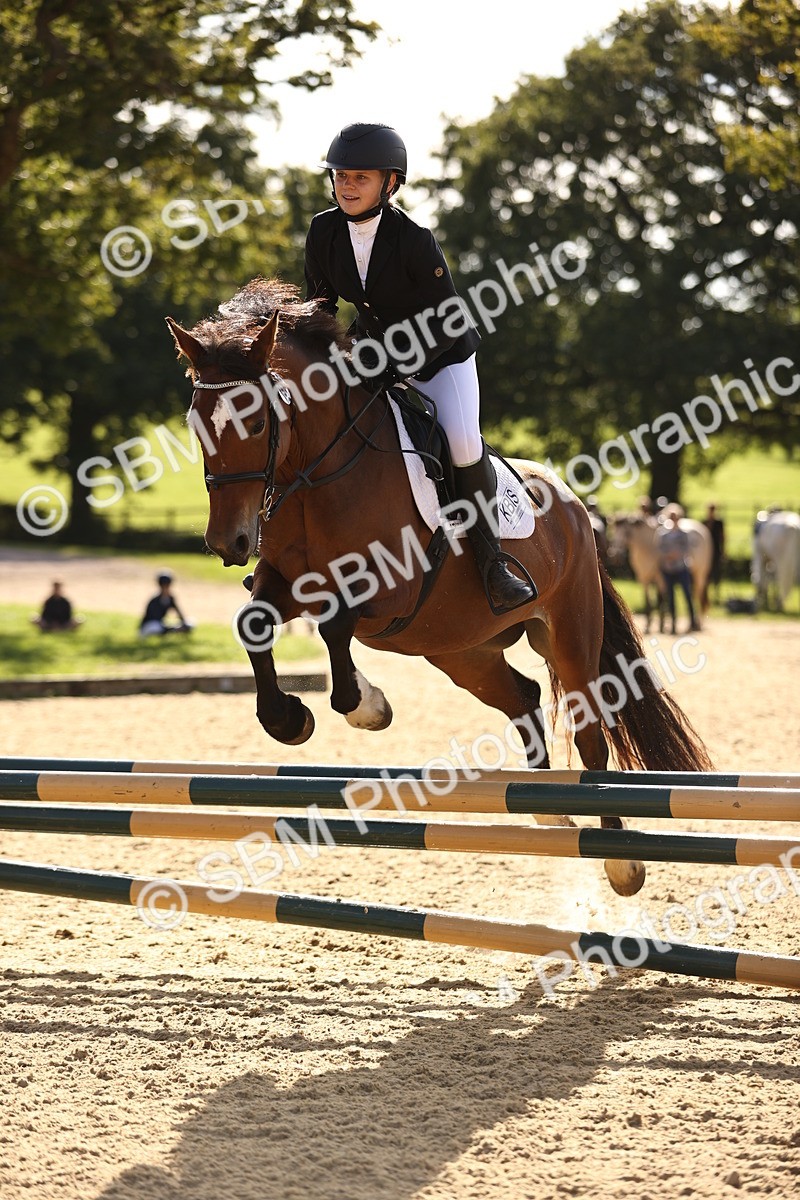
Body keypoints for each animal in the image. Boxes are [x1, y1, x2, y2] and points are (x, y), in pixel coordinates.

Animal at [166, 278, 713, 898]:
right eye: (195, 425)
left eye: (257, 423)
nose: (228, 542)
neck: (319, 471)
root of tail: (574, 505)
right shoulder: (288, 583)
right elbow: (255, 623)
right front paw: (289, 720)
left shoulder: (389, 593)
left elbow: (336, 627)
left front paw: (367, 707)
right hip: (460, 649)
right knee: (523, 696)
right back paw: (548, 808)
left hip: (570, 634)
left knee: (590, 730)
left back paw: (620, 860)